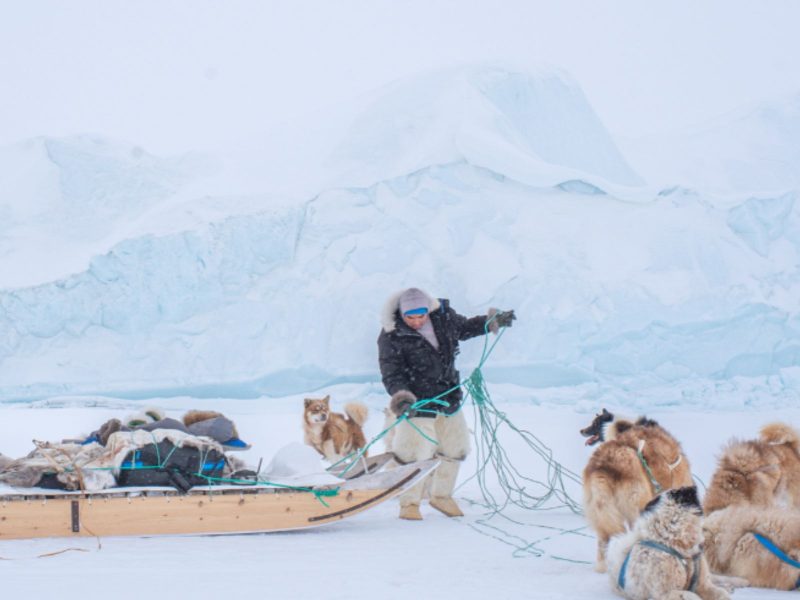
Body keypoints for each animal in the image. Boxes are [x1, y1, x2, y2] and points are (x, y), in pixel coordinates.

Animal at [580, 410, 692, 576]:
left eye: (594, 423)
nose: (581, 431)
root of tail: (603, 466)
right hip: (638, 508)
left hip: (601, 515)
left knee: (603, 543)